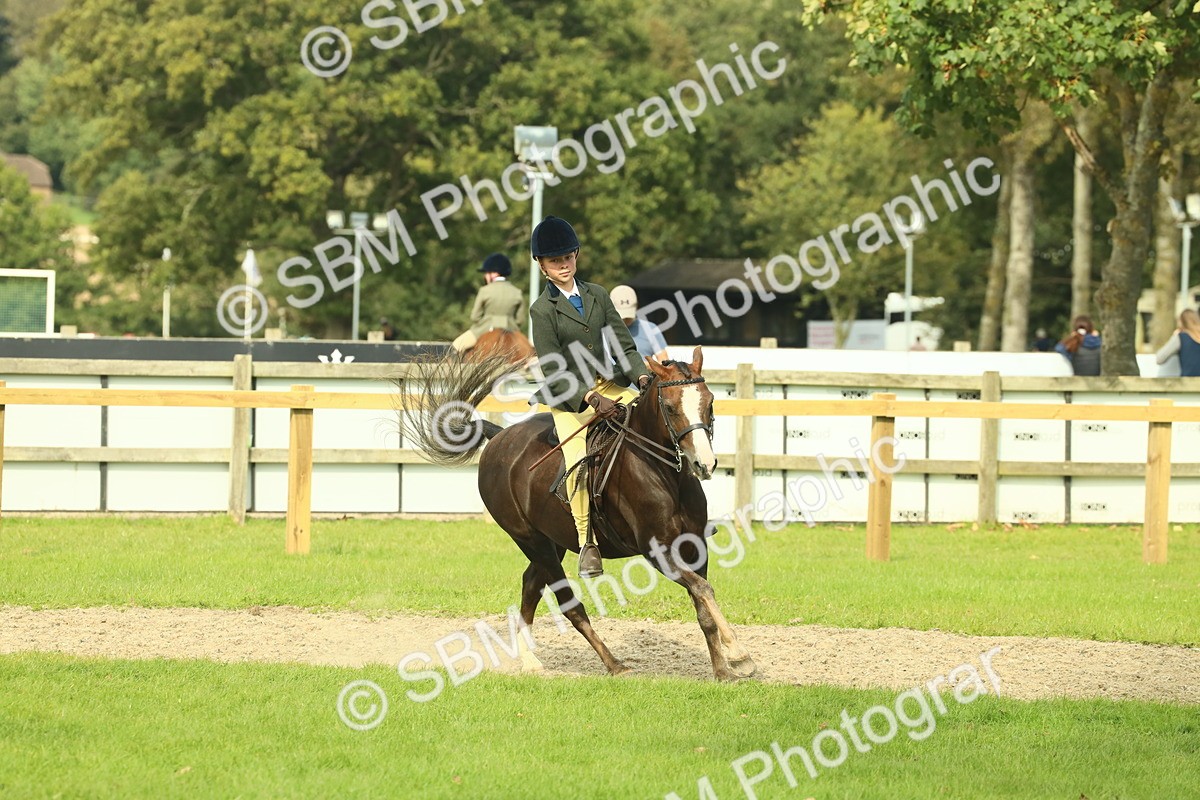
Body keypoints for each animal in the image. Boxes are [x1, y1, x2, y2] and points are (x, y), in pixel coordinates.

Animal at [395, 346, 756, 682]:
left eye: (710, 402)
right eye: (669, 407)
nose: (704, 464)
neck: (663, 472)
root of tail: (499, 438)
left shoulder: (694, 547)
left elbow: (703, 602)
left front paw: (723, 670)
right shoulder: (659, 553)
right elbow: (702, 591)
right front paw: (740, 656)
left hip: (551, 542)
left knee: (531, 584)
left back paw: (530, 660)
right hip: (531, 540)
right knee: (569, 604)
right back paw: (613, 664)